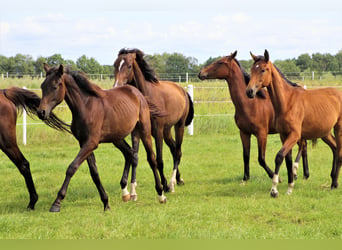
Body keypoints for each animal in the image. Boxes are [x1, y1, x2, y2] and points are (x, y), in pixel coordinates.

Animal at [37, 63, 166, 212]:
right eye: (42, 86)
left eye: (55, 86)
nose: (41, 112)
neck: (86, 106)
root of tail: (137, 93)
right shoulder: (84, 143)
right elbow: (94, 173)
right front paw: (106, 203)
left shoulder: (91, 143)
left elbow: (72, 167)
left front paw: (56, 203)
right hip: (117, 138)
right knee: (129, 154)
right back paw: (126, 193)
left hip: (144, 131)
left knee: (151, 159)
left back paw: (161, 195)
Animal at [113, 49, 194, 193]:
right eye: (115, 65)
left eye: (129, 66)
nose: (117, 85)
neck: (146, 96)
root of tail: (183, 91)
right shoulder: (138, 132)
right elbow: (135, 156)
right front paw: (133, 187)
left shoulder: (157, 131)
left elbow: (159, 160)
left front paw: (165, 185)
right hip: (167, 131)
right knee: (174, 149)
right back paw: (179, 179)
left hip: (178, 126)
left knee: (177, 151)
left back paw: (172, 182)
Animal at [196, 51, 312, 182]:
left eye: (220, 62)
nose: (201, 73)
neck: (250, 104)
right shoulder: (244, 133)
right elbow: (246, 156)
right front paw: (245, 178)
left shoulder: (261, 134)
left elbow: (261, 159)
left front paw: (276, 177)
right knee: (303, 147)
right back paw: (300, 174)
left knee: (304, 147)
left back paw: (303, 174)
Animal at [246, 49, 340, 197]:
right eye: (251, 69)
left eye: (263, 70)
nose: (249, 91)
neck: (287, 101)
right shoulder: (284, 135)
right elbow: (288, 160)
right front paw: (290, 187)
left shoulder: (294, 135)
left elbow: (279, 157)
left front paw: (274, 190)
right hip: (325, 132)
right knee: (335, 148)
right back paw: (333, 182)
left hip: (338, 128)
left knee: (339, 151)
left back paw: (334, 183)